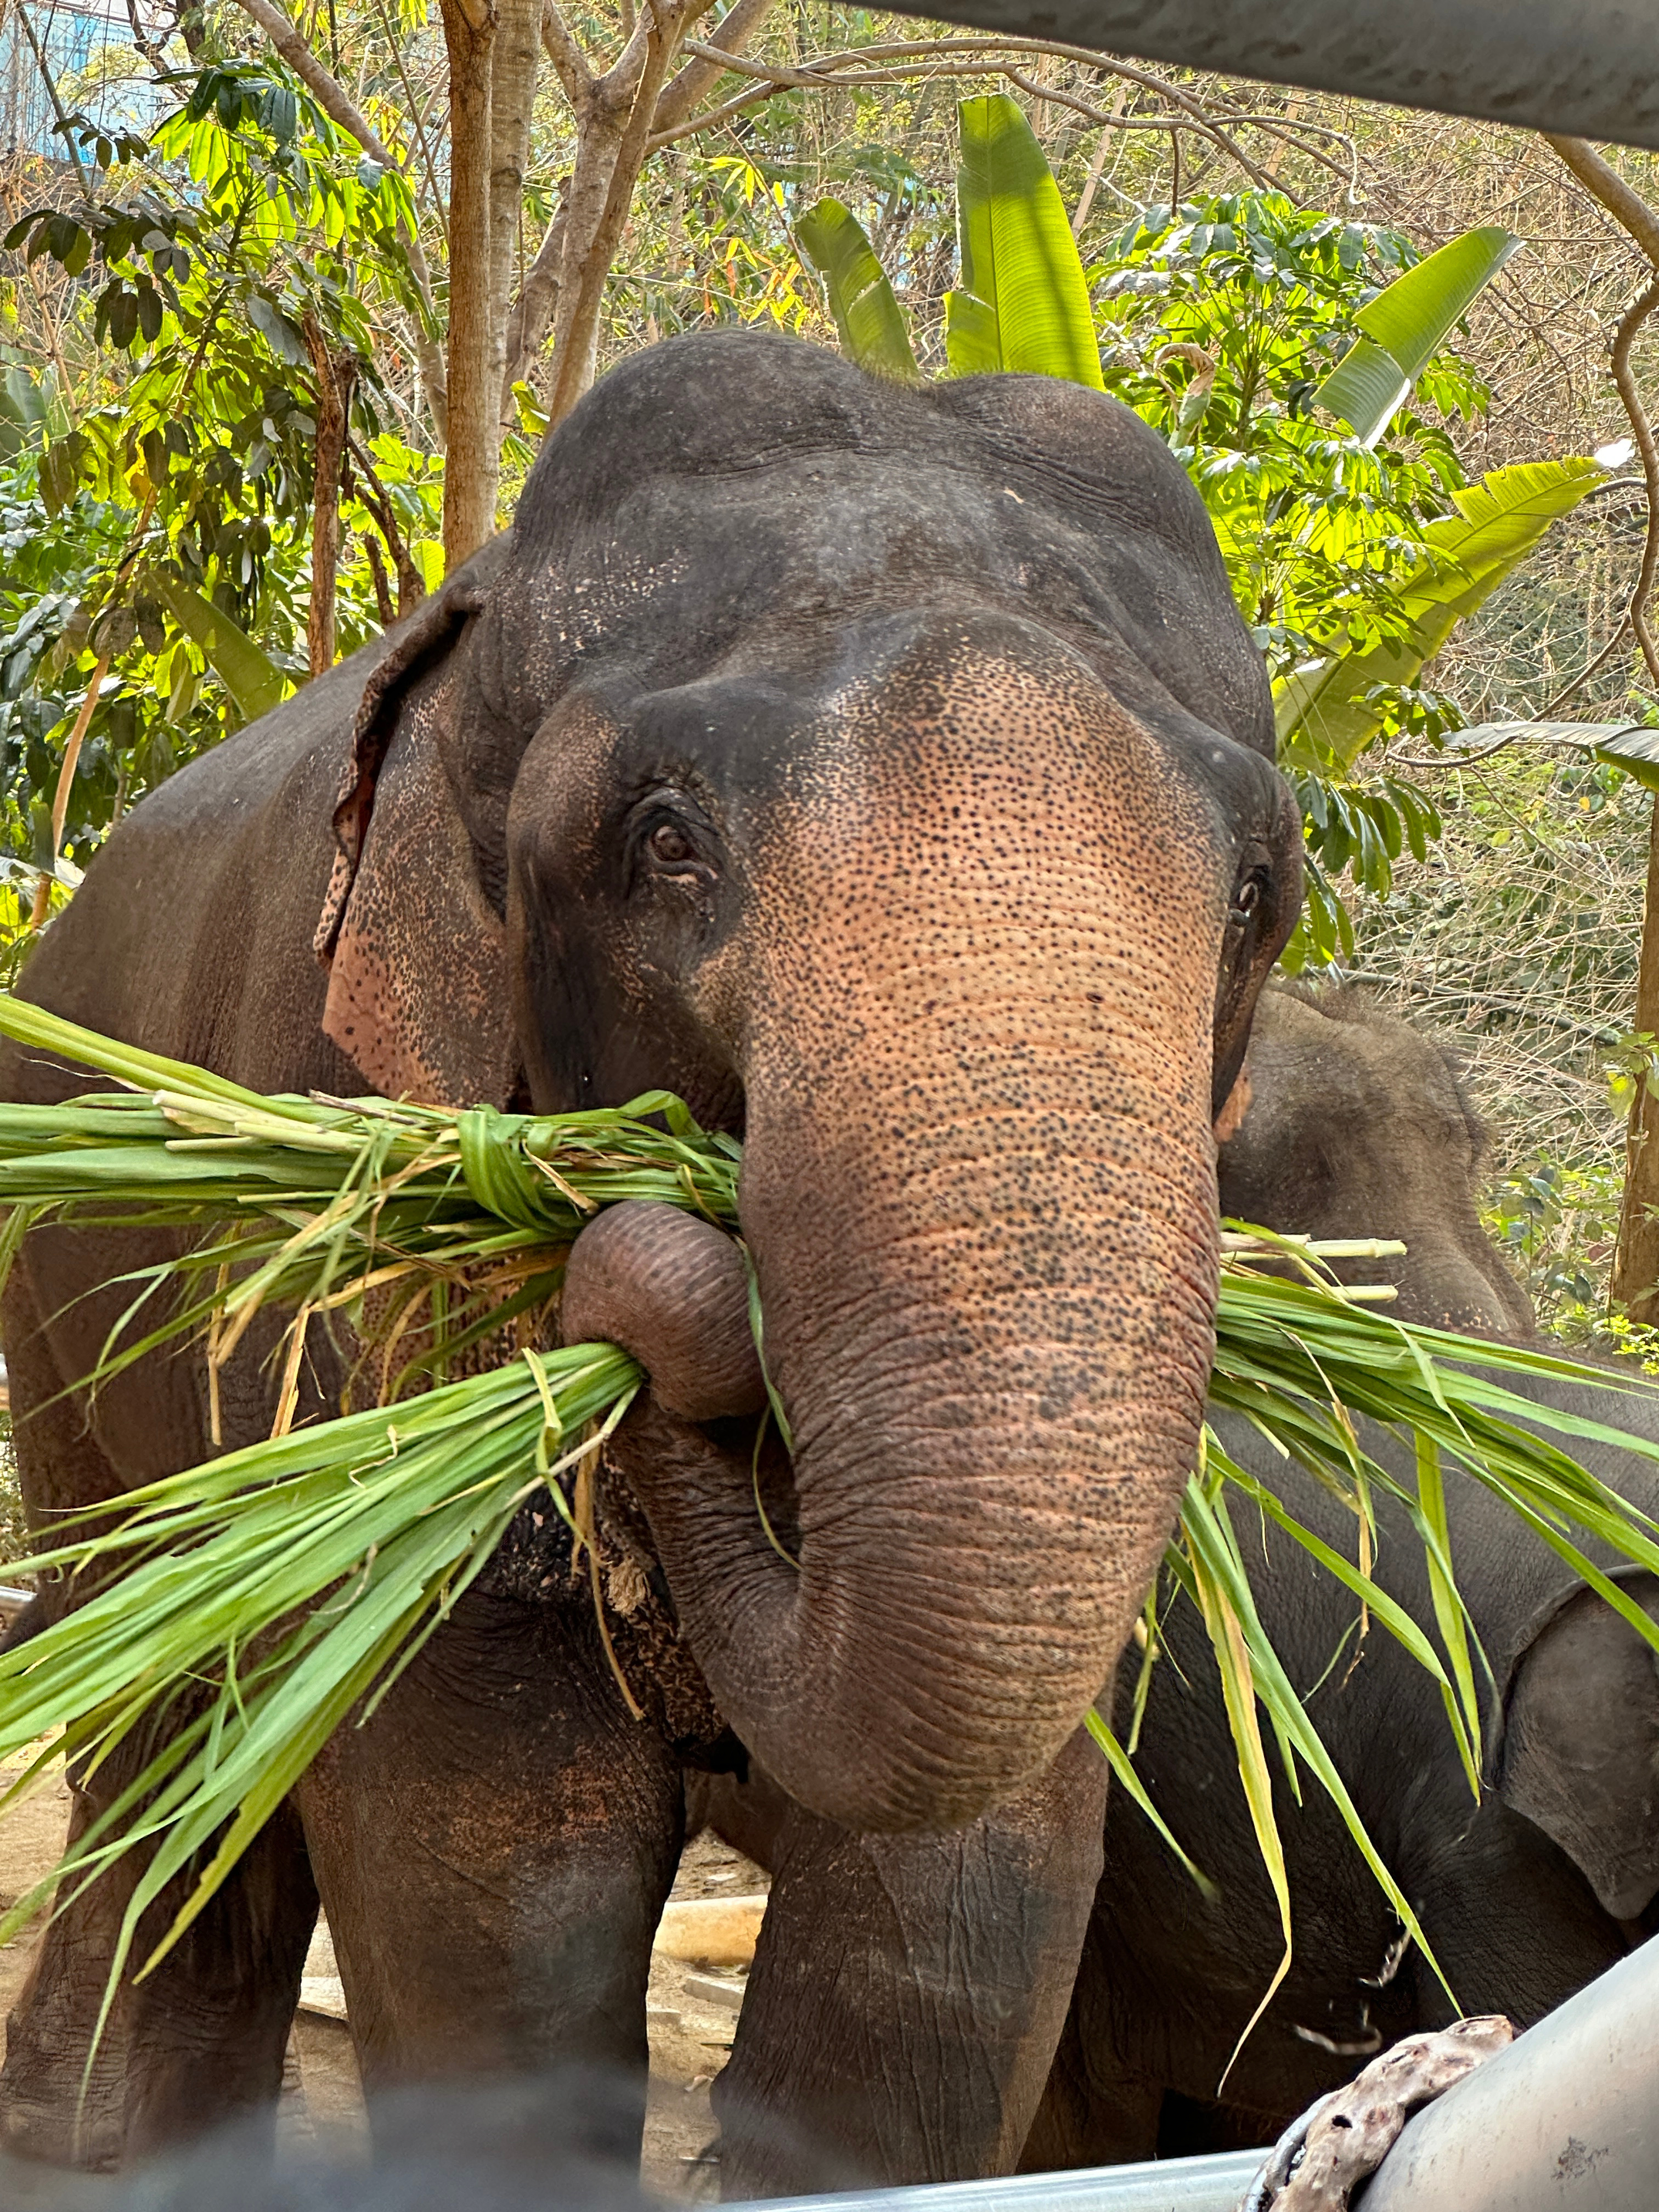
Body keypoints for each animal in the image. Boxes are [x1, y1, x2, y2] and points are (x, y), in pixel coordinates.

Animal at [0, 327, 1309, 2176]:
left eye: (1260, 889)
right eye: (665, 843)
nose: (658, 1271)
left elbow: (961, 1901)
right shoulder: (361, 1199)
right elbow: (484, 1851)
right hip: (54, 1300)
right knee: (162, 1684)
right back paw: (103, 2145)